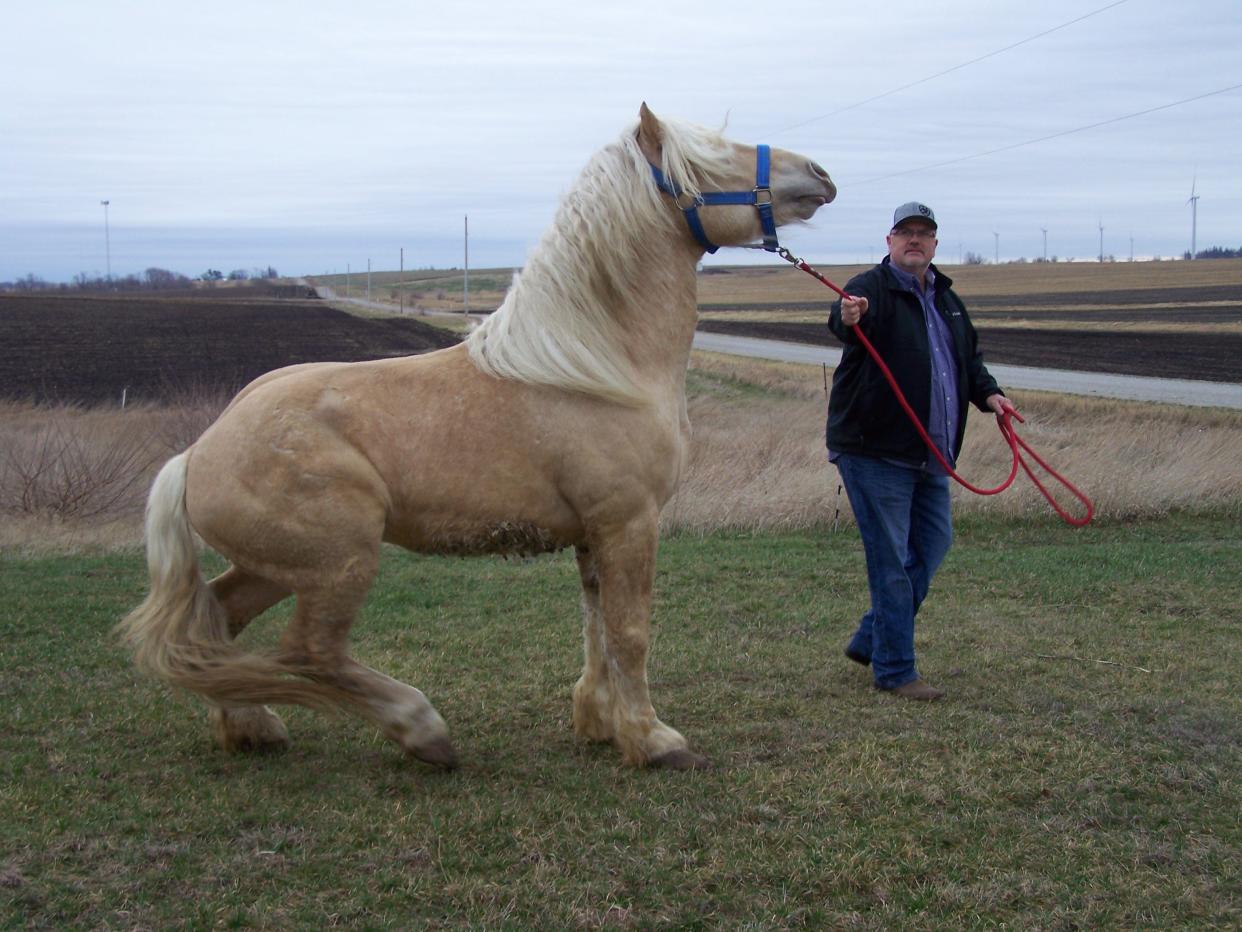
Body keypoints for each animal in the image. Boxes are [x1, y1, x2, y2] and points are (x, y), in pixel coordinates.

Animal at [118, 103, 834, 775]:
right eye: (711, 158)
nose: (818, 175)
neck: (601, 365)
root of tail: (199, 450)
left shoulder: (594, 534)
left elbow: (596, 627)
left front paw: (600, 725)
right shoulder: (629, 522)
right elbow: (630, 631)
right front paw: (654, 741)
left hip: (279, 566)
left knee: (216, 622)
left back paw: (253, 726)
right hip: (339, 563)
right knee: (309, 651)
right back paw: (421, 729)